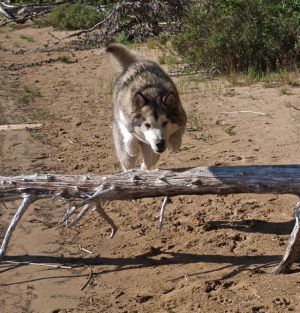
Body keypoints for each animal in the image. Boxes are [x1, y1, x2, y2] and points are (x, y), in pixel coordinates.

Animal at [105, 43, 185, 171]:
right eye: (147, 125)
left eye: (165, 123)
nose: (160, 143)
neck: (152, 93)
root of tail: (134, 63)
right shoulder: (122, 115)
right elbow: (128, 133)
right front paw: (132, 147)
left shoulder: (180, 114)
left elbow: (178, 132)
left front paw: (175, 142)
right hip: (125, 152)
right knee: (128, 162)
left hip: (151, 151)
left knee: (148, 162)